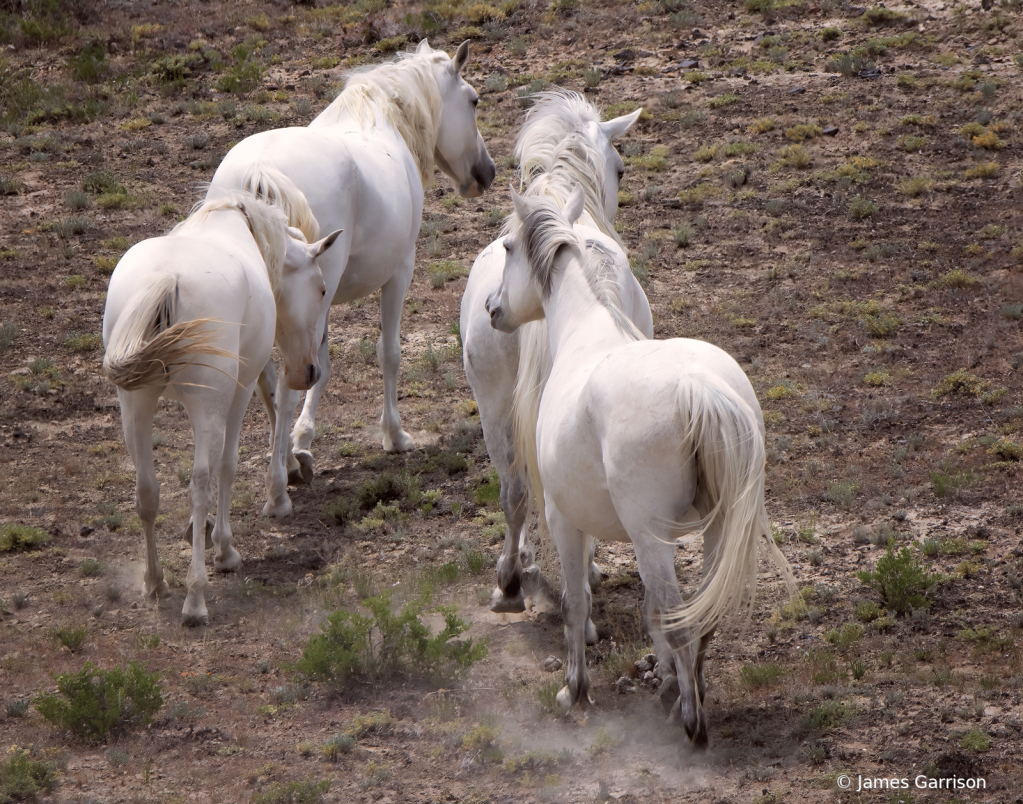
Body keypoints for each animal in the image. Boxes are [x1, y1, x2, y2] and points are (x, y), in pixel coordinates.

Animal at [104, 194, 343, 626]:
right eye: (320, 290)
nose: (309, 372)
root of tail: (168, 280)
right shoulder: (240, 391)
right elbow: (228, 466)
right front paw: (225, 550)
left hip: (135, 405)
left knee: (146, 491)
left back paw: (155, 582)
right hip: (206, 405)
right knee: (199, 485)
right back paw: (195, 599)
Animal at [206, 39, 495, 513]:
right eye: (473, 101)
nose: (487, 173)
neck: (382, 118)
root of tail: (260, 175)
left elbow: (321, 366)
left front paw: (301, 442)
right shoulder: (400, 270)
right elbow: (387, 353)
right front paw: (394, 435)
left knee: (272, 381)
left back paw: (288, 465)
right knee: (287, 381)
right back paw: (277, 491)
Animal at [482, 188, 793, 744]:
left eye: (508, 247)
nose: (492, 307)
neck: (587, 335)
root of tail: (699, 387)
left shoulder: (565, 520)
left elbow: (576, 603)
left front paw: (575, 690)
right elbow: (647, 611)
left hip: (652, 539)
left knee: (683, 620)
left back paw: (692, 724)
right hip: (716, 529)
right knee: (700, 618)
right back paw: (687, 697)